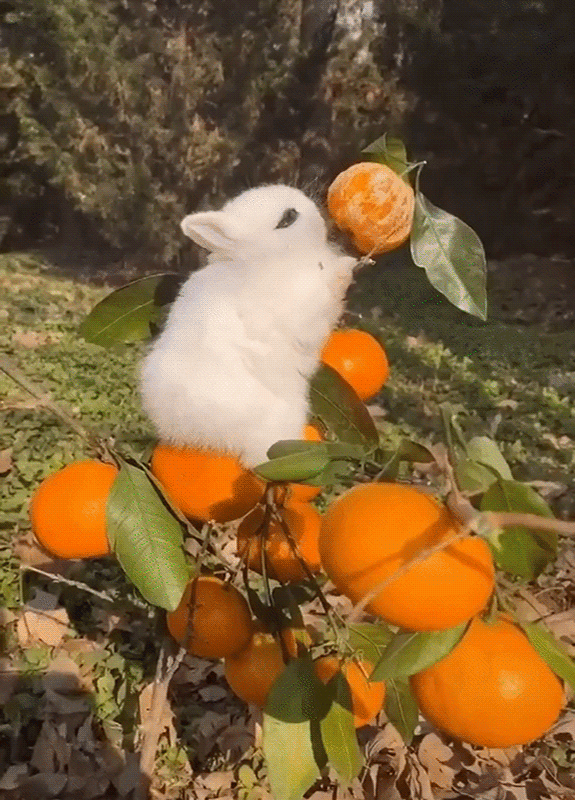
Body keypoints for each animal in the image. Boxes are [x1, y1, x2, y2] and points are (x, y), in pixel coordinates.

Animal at [139, 184, 357, 468]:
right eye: (287, 218)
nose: (320, 213)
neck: (266, 258)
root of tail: (193, 433)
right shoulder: (300, 309)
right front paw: (346, 269)